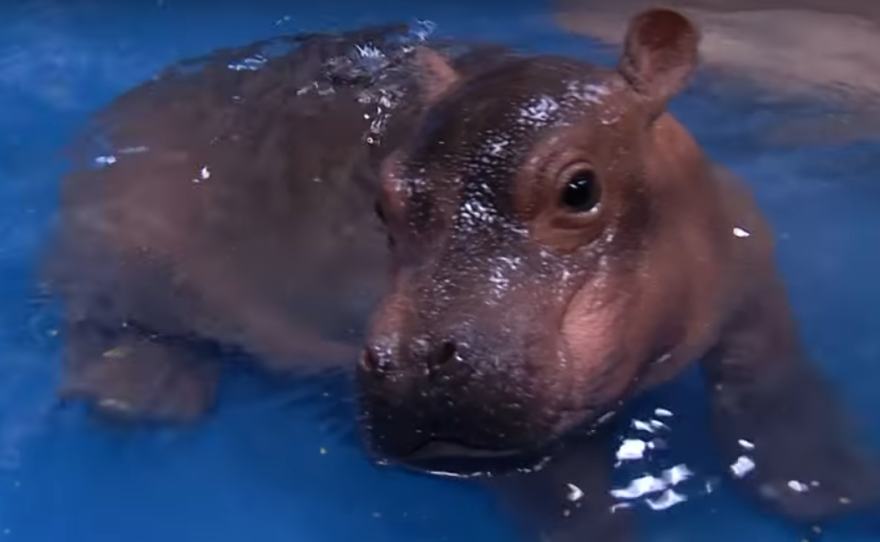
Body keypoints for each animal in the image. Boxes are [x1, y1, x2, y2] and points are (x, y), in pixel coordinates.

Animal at [42, 6, 880, 541]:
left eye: (580, 188)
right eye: (381, 202)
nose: (414, 360)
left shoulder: (747, 256)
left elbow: (768, 362)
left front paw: (823, 487)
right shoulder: (506, 443)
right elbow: (559, 494)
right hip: (110, 256)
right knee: (103, 323)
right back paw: (145, 394)